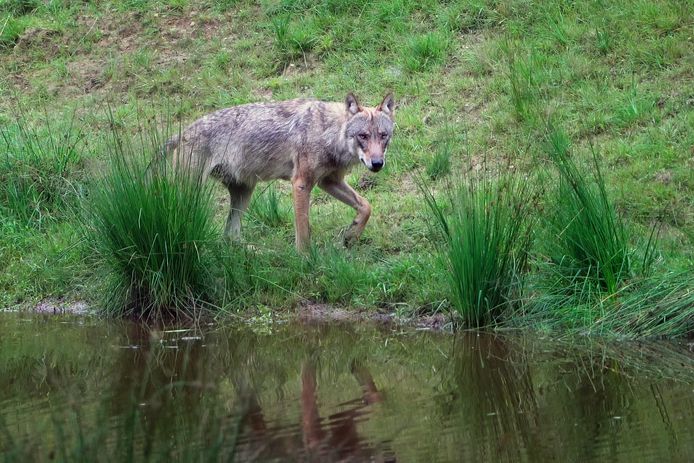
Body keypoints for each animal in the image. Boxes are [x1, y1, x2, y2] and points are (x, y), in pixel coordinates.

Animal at [167, 93, 396, 252]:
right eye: (363, 136)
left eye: (383, 136)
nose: (377, 163)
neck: (327, 131)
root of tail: (183, 132)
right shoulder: (301, 184)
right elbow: (302, 232)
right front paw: (305, 261)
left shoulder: (328, 182)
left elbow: (366, 206)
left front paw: (351, 235)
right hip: (193, 197)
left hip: (243, 193)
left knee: (230, 236)